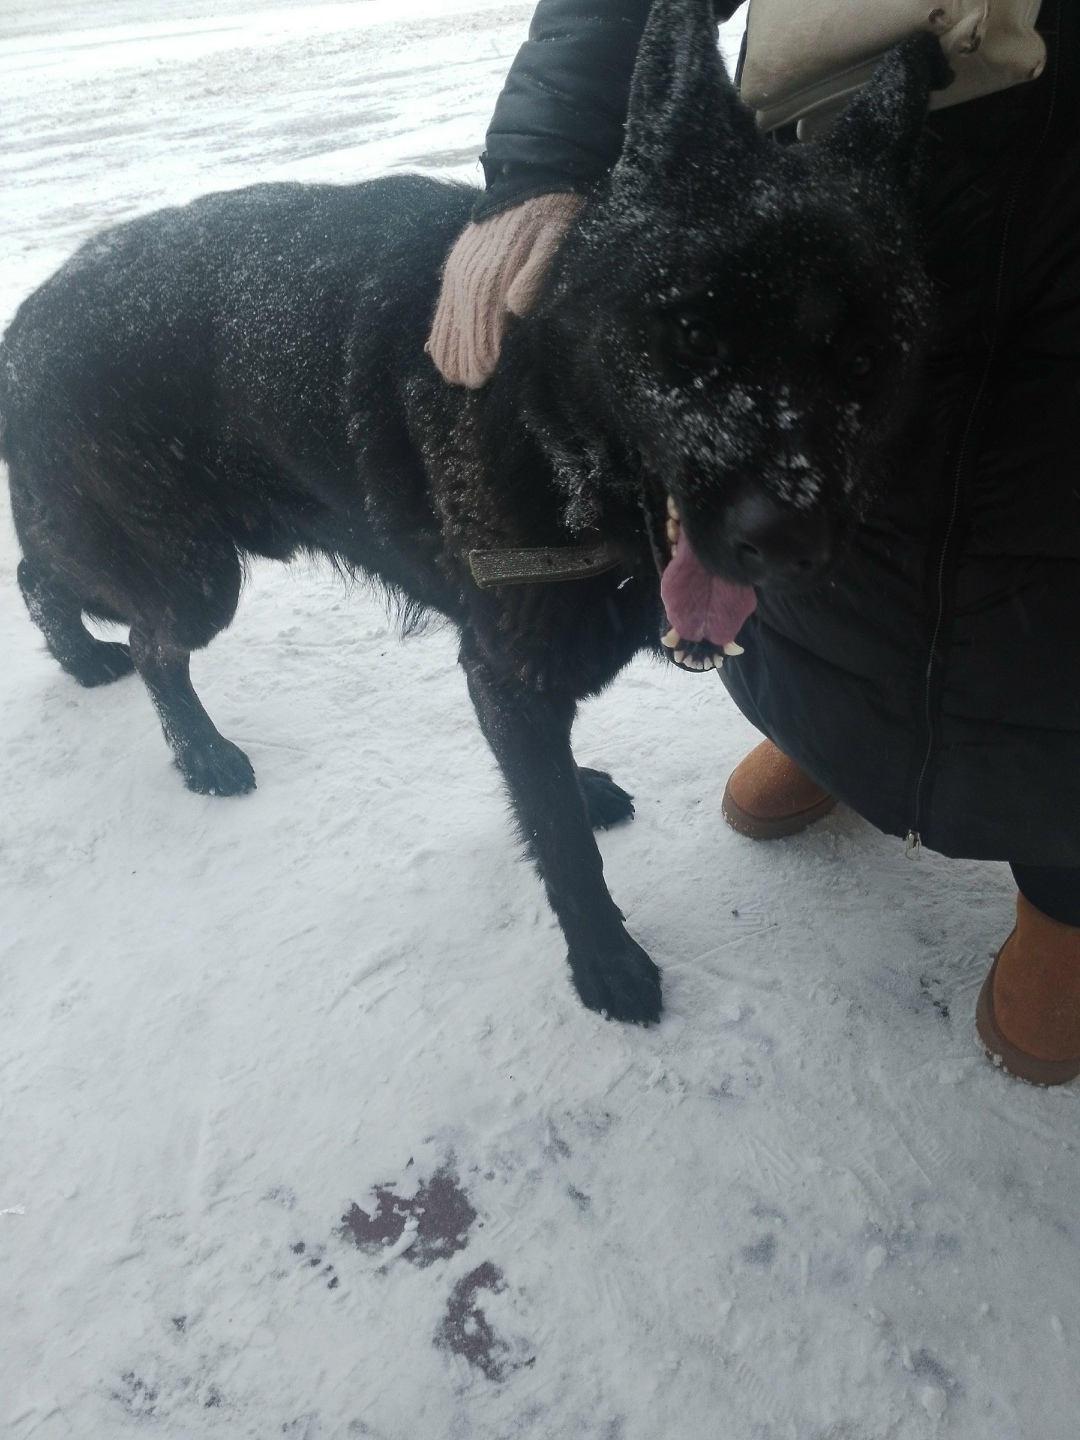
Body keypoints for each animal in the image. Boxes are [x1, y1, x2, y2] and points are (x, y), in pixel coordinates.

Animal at [0, 0, 948, 1024]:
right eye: (692, 331)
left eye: (865, 361)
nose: (790, 542)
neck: (552, 420)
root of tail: (26, 321)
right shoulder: (505, 671)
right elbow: (562, 843)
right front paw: (605, 962)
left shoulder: (513, 676)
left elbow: (547, 788)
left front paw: (579, 795)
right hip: (194, 574)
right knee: (143, 639)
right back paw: (197, 747)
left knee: (45, 574)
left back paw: (79, 655)